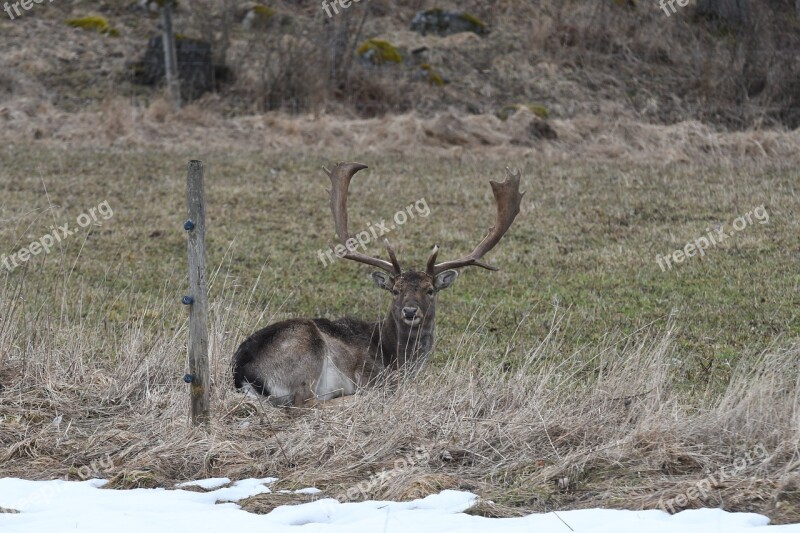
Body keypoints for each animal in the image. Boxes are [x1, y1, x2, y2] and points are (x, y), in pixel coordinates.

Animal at [231, 160, 520, 406]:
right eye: (395, 290)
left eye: (430, 290)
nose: (410, 311)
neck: (398, 358)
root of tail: (242, 374)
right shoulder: (372, 374)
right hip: (306, 352)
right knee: (306, 403)